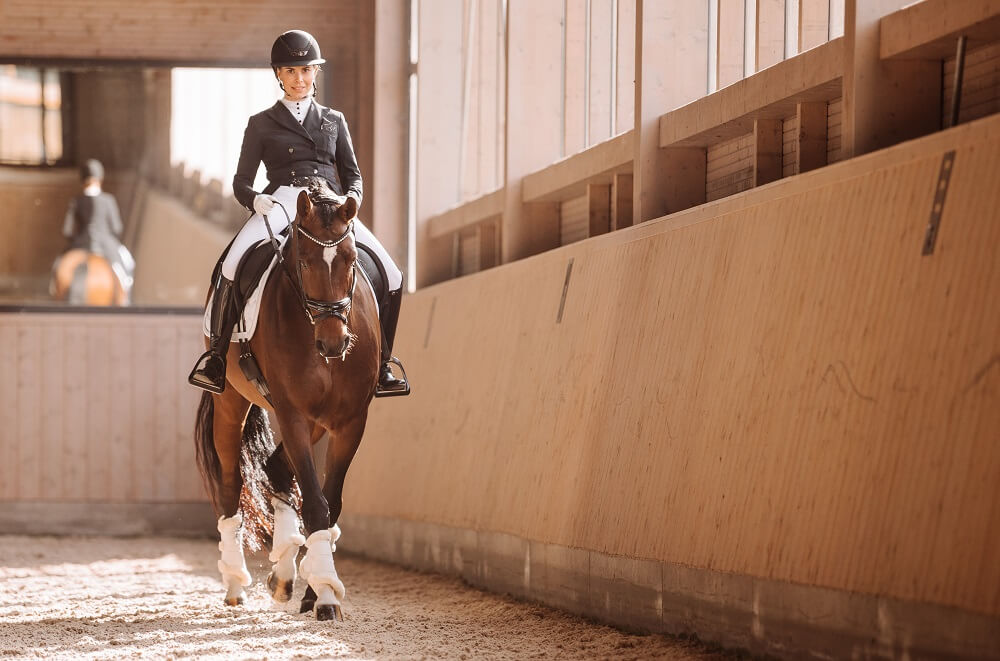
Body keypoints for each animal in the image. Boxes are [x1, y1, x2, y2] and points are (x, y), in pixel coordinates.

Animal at [193, 179, 380, 620]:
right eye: (305, 262)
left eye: (351, 260)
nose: (334, 342)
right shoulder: (293, 413)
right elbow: (315, 502)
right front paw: (325, 594)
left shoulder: (349, 421)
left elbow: (330, 501)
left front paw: (316, 587)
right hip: (231, 403)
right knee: (231, 486)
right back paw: (235, 582)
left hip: (315, 421)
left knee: (277, 470)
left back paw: (285, 573)